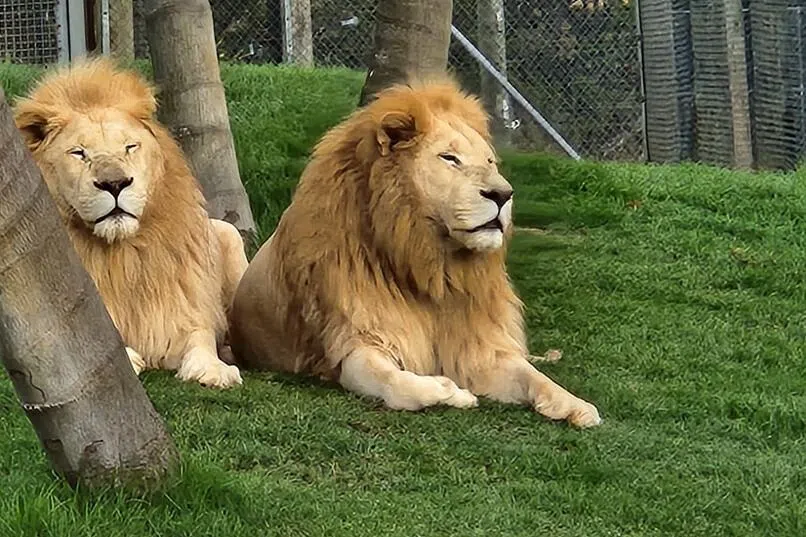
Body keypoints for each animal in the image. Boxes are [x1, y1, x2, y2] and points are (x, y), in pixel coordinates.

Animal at [14, 58, 247, 389]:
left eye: (129, 147)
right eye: (79, 153)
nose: (115, 184)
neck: (125, 255)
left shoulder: (185, 310)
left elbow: (200, 338)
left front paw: (214, 369)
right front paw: (130, 358)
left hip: (228, 233)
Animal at [228, 79, 602, 427]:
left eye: (489, 161)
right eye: (449, 158)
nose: (503, 194)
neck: (430, 265)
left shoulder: (478, 347)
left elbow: (531, 376)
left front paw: (577, 405)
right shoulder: (356, 343)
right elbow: (396, 382)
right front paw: (452, 392)